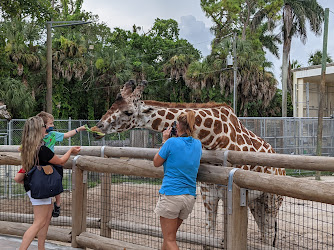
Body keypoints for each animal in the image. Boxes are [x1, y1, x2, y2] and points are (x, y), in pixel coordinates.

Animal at [92, 79, 286, 246]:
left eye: (128, 112)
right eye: (112, 105)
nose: (96, 129)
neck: (213, 138)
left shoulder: (231, 193)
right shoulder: (208, 194)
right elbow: (210, 237)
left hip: (272, 200)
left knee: (269, 235)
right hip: (256, 202)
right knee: (265, 234)